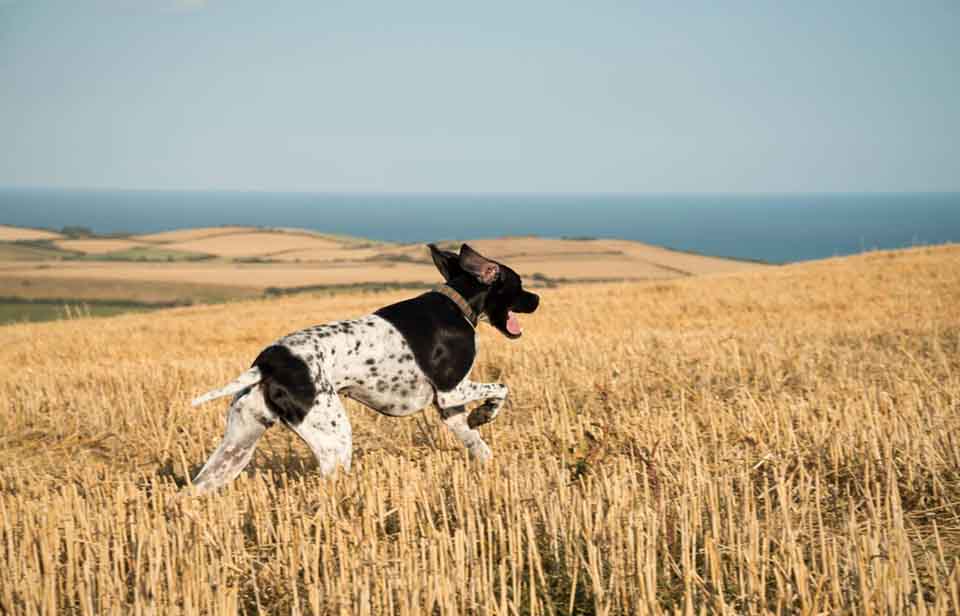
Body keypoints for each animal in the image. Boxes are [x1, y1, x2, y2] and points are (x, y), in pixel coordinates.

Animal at [188, 243, 540, 494]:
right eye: (519, 284)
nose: (537, 298)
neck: (457, 303)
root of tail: (268, 362)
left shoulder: (450, 410)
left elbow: (477, 444)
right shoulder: (452, 391)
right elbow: (502, 387)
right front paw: (485, 413)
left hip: (236, 446)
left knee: (196, 488)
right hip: (334, 439)